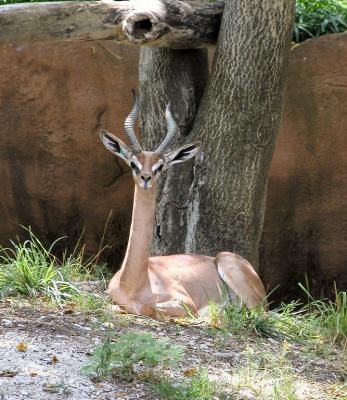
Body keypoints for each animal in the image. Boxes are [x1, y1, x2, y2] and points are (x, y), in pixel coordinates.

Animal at [100, 95, 266, 318]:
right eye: (134, 163)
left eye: (160, 166)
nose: (146, 178)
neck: (134, 283)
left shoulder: (185, 302)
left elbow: (147, 307)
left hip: (235, 276)